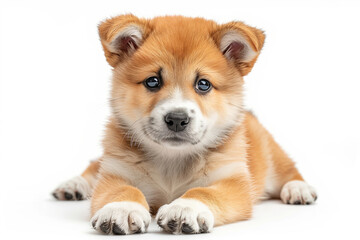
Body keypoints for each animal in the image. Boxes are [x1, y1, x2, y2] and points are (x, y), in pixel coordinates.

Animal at [52, 14, 316, 234]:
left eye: (203, 84)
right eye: (152, 81)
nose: (177, 119)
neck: (172, 162)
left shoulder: (234, 182)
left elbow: (203, 191)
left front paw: (185, 208)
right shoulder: (116, 172)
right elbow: (123, 189)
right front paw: (122, 208)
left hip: (272, 155)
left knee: (289, 170)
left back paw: (298, 189)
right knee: (94, 165)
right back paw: (73, 185)